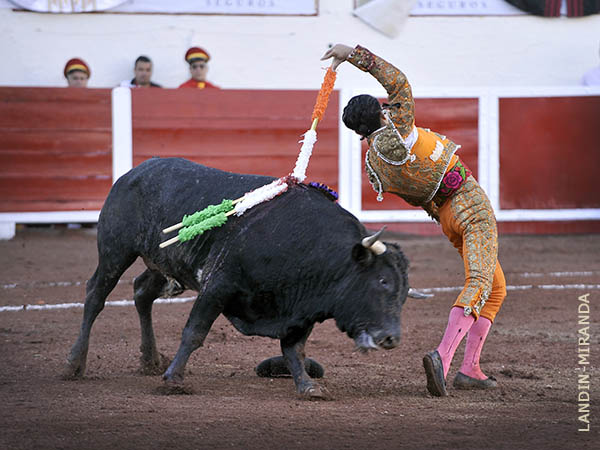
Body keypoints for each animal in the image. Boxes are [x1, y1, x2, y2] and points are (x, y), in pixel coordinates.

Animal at [62, 157, 408, 398]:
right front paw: (173, 380)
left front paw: (308, 387)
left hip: (161, 262)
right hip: (115, 251)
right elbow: (195, 333)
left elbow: (294, 350)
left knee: (141, 293)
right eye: (382, 282)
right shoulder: (218, 286)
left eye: (403, 294)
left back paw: (149, 360)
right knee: (96, 295)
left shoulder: (301, 310)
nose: (391, 338)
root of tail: (133, 173)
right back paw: (74, 364)